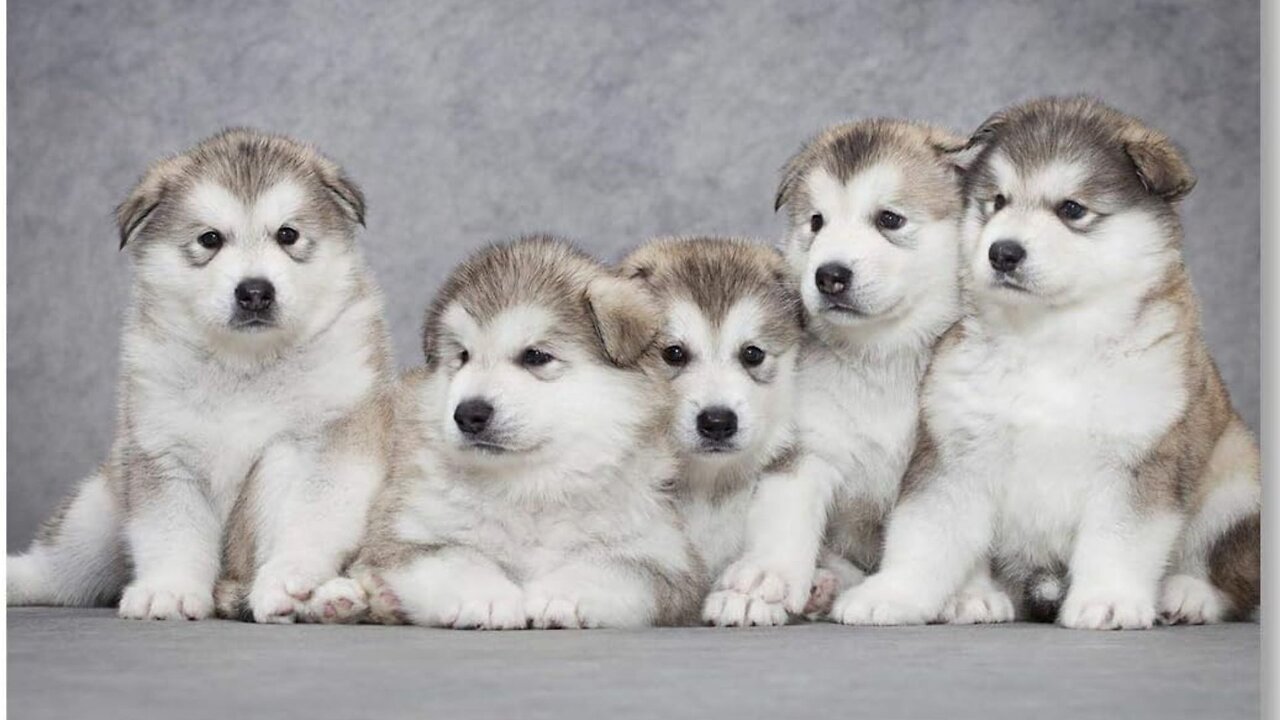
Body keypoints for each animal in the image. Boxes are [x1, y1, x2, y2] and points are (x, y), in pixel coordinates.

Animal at [6, 130, 394, 622]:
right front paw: (169, 589)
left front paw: (291, 575)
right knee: (60, 573)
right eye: (210, 239)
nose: (255, 291)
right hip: (96, 512)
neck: (246, 366)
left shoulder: (329, 441)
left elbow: (312, 517)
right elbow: (172, 531)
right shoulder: (165, 453)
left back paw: (323, 600)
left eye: (288, 234)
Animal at [313, 237, 706, 627]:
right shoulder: (404, 532)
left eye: (535, 356)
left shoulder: (665, 559)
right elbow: (457, 557)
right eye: (463, 356)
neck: (530, 486)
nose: (469, 414)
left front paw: (560, 595)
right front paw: (488, 597)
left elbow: (610, 568)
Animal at [701, 119, 967, 622]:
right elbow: (786, 517)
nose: (829, 275)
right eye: (816, 222)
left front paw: (972, 589)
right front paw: (765, 578)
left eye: (889, 220)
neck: (882, 358)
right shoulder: (806, 447)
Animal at [834, 96, 1264, 627]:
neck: (1048, 337)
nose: (1003, 252)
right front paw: (892, 593)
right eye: (997, 202)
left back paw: (1188, 594)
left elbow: (1119, 539)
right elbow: (924, 534)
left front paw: (1108, 599)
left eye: (1072, 209)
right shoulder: (956, 450)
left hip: (1236, 474)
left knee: (1236, 576)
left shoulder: (1137, 456)